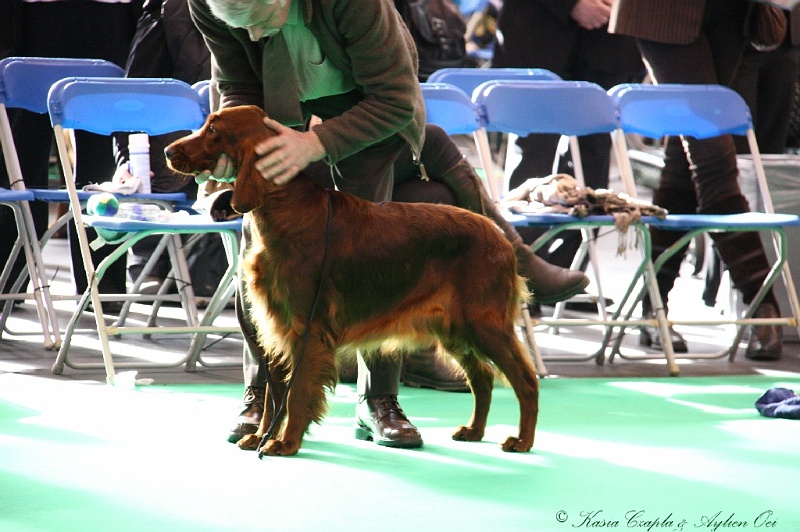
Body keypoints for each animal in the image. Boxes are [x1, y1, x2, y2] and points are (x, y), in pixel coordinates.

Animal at [164, 106, 536, 456]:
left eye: (213, 129)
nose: (168, 150)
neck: (284, 207)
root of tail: (499, 235)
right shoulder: (276, 327)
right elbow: (274, 395)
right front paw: (260, 436)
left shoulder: (306, 329)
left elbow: (297, 392)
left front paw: (284, 444)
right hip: (454, 328)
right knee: (483, 377)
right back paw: (474, 431)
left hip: (484, 323)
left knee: (526, 379)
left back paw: (522, 440)